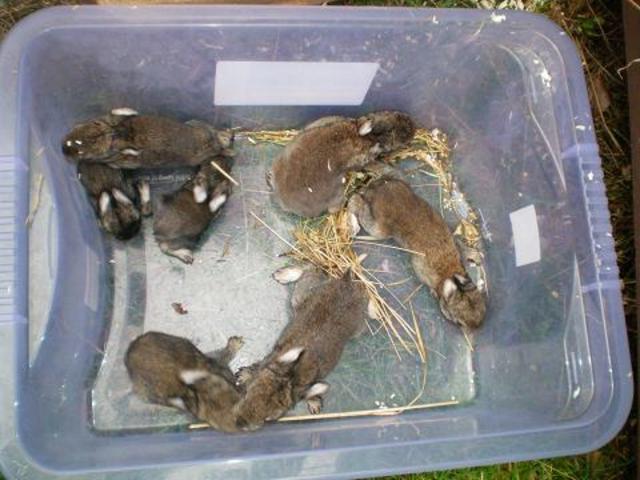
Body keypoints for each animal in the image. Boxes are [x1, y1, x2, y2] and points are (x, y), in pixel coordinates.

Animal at [233, 267, 369, 430]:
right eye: (247, 393)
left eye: (269, 418)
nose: (240, 422)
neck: (293, 376)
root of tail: (345, 281)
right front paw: (243, 374)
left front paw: (315, 404)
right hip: (302, 296)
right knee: (308, 270)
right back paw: (282, 275)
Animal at [348, 176, 486, 329]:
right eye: (458, 321)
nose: (474, 328)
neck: (449, 272)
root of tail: (375, 190)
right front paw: (433, 292)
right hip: (378, 229)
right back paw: (353, 201)